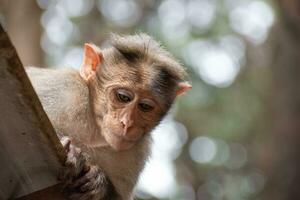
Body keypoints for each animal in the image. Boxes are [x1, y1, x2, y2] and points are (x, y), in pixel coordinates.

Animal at [24, 33, 191, 199]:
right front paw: (73, 153)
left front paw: (98, 182)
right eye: (123, 97)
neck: (94, 129)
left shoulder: (138, 152)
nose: (127, 123)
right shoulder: (62, 90)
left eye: (145, 106)